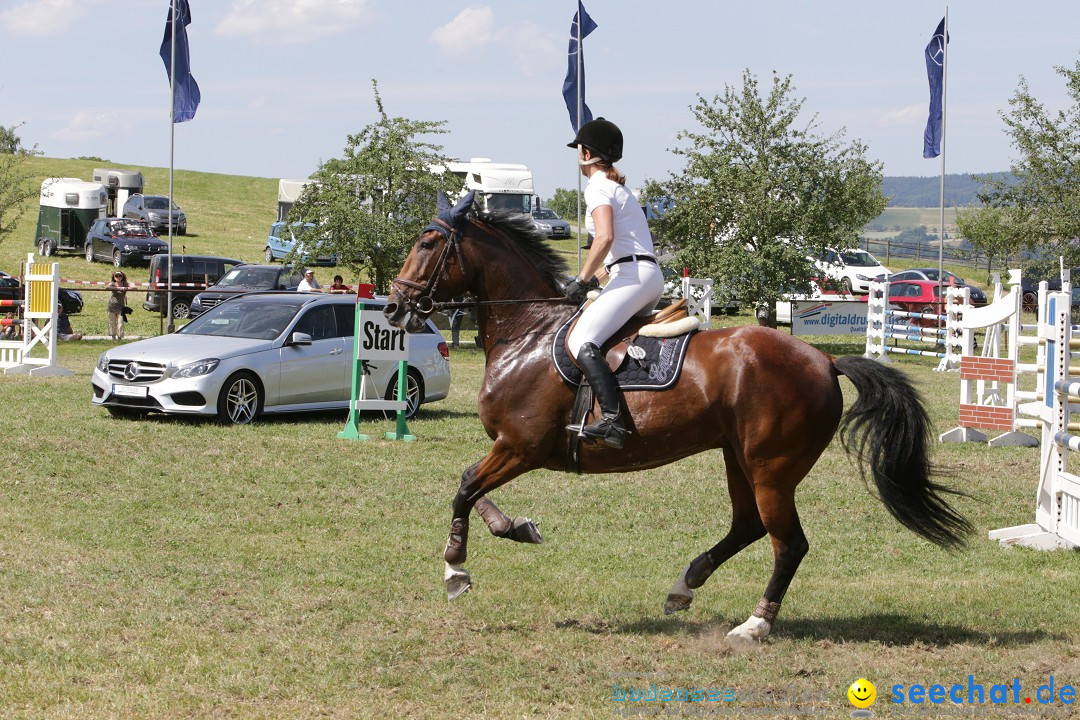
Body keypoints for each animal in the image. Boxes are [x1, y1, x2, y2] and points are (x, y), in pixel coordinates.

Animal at [384, 198, 976, 647]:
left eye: (427, 244)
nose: (393, 308)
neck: (527, 331)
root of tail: (823, 361)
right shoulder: (511, 448)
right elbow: (472, 489)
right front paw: (516, 528)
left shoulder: (520, 446)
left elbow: (464, 488)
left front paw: (455, 570)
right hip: (737, 456)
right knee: (748, 526)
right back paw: (685, 585)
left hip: (771, 466)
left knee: (789, 543)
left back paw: (754, 625)